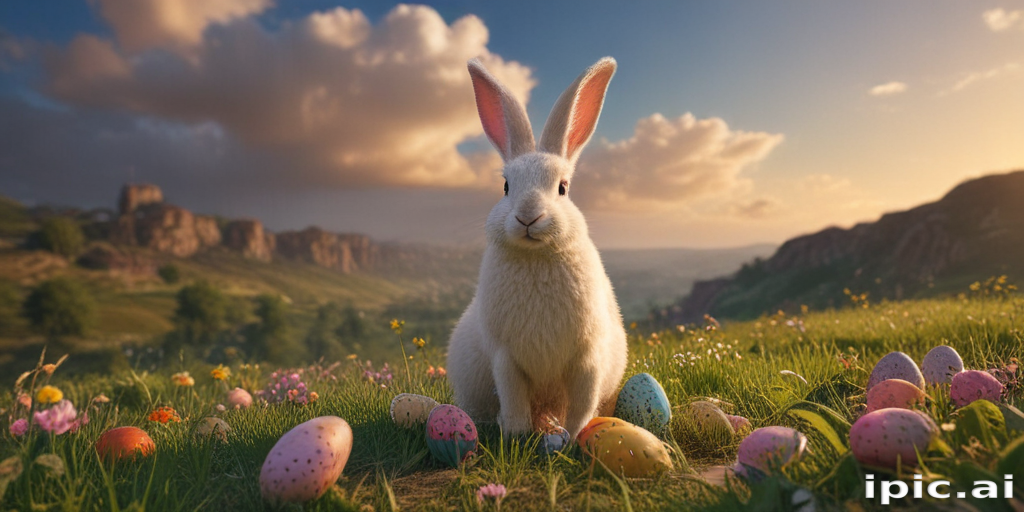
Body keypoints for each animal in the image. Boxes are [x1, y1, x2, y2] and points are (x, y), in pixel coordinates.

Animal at [446, 56, 628, 439]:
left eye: (562, 188)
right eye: (505, 187)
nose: (528, 216)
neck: (536, 257)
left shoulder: (587, 358)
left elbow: (582, 403)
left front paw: (576, 436)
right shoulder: (505, 359)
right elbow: (514, 400)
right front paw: (515, 434)